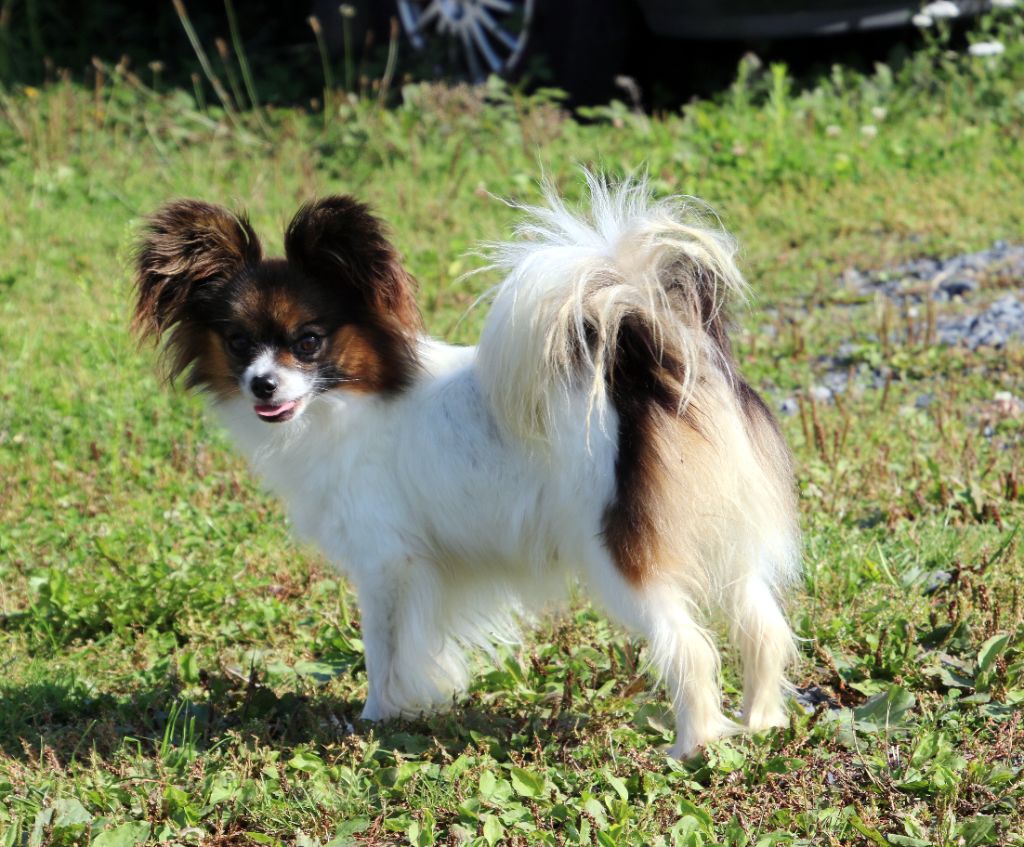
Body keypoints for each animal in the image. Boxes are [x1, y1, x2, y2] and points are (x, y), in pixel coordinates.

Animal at [132, 172, 798, 753]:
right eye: (238, 343)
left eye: (309, 342)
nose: (263, 385)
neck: (349, 401)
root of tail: (647, 358)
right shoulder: (425, 569)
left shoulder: (384, 563)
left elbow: (381, 649)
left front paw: (374, 718)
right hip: (726, 536)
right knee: (761, 626)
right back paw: (760, 722)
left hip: (619, 555)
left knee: (690, 648)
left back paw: (694, 746)